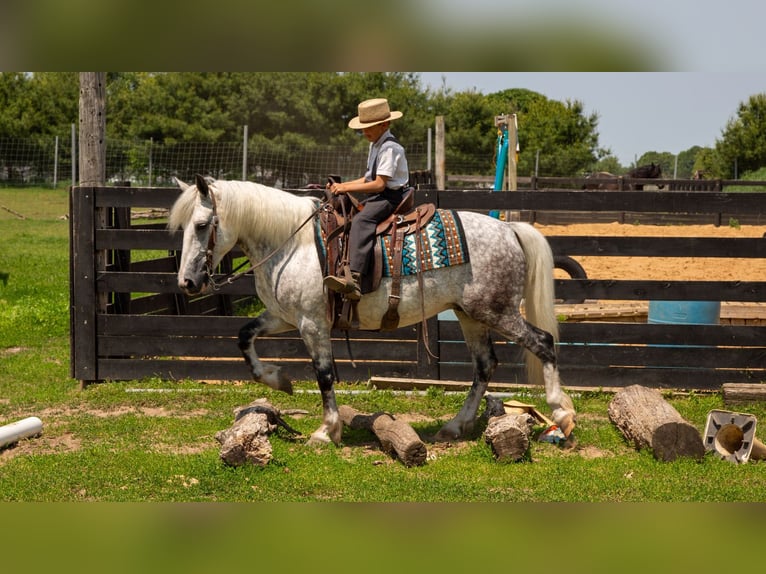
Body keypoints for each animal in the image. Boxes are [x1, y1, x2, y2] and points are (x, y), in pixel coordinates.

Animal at [169, 175, 576, 446]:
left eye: (202, 225)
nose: (187, 282)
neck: (292, 243)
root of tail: (510, 229)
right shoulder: (284, 318)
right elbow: (244, 338)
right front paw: (278, 379)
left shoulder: (312, 324)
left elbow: (324, 375)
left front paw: (326, 430)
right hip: (470, 315)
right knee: (485, 365)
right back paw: (454, 427)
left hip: (498, 312)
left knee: (543, 342)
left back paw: (562, 414)